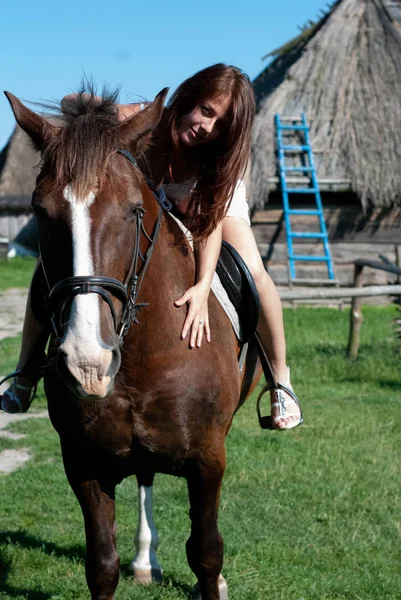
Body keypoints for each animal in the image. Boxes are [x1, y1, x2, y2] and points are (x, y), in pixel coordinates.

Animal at [6, 89, 260, 600]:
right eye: (41, 212)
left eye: (133, 210)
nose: (88, 361)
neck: (147, 357)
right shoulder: (83, 464)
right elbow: (102, 566)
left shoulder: (209, 460)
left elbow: (207, 553)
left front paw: (215, 579)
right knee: (145, 477)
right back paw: (146, 560)